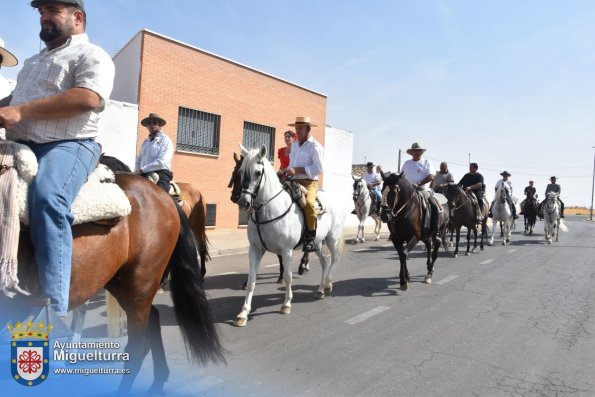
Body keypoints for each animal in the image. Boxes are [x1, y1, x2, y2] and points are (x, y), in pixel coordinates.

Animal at [2, 175, 224, 394]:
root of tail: (165, 197)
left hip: (140, 284)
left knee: (137, 347)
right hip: (119, 284)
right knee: (152, 318)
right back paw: (158, 381)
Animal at [233, 145, 344, 324]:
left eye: (258, 172)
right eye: (241, 172)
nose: (243, 202)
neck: (269, 210)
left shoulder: (286, 251)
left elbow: (287, 276)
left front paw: (286, 304)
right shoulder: (255, 250)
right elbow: (251, 280)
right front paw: (243, 313)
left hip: (332, 239)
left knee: (334, 259)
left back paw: (327, 285)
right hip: (317, 243)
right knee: (324, 262)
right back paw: (320, 290)